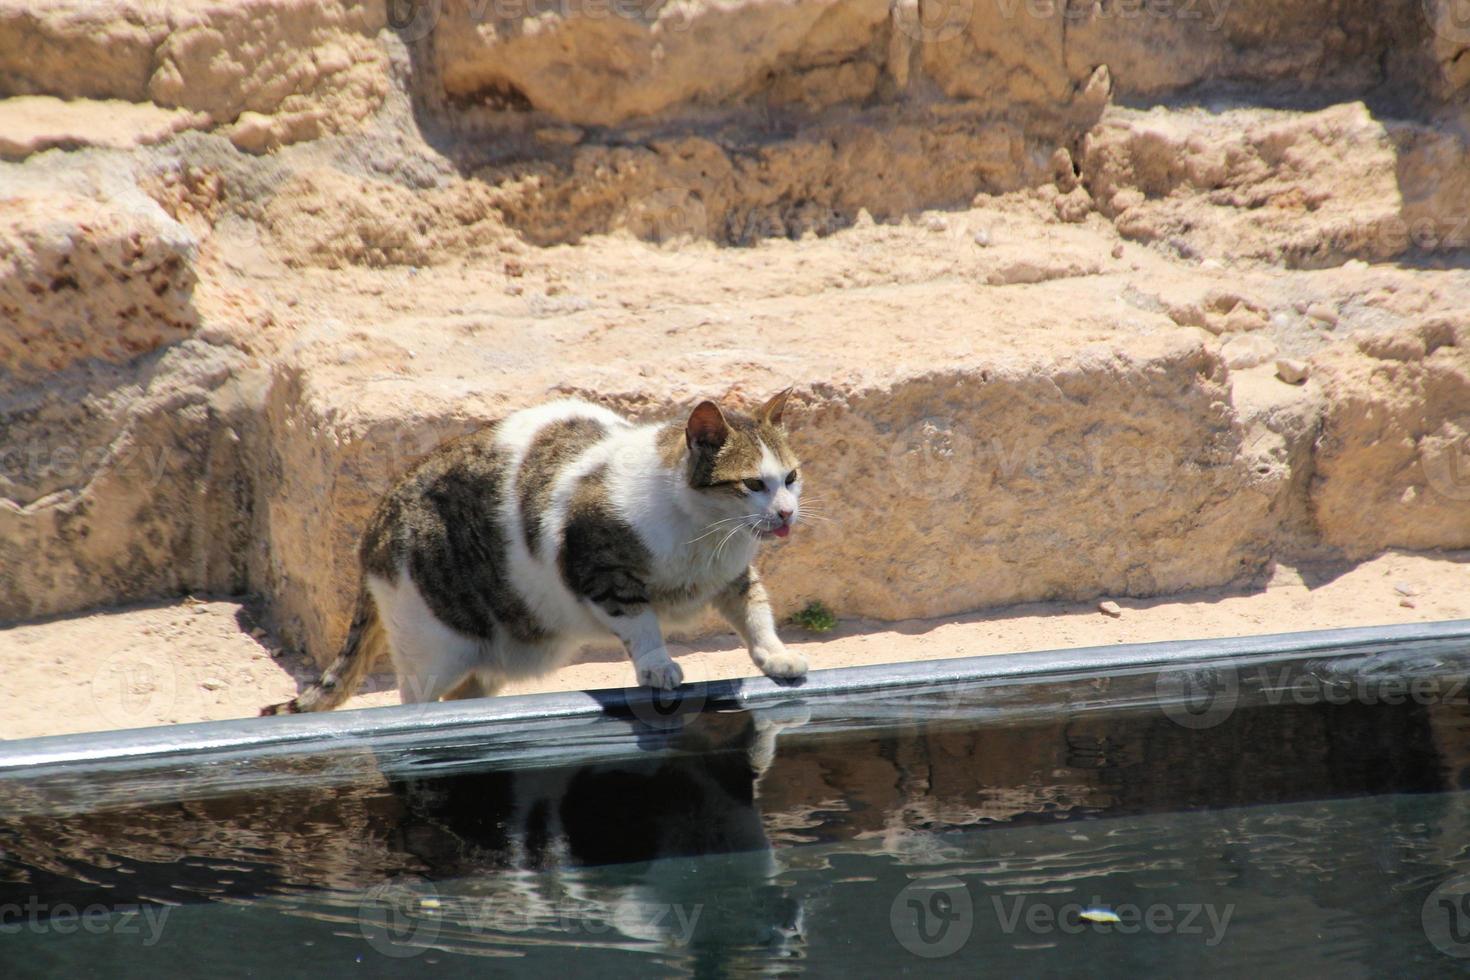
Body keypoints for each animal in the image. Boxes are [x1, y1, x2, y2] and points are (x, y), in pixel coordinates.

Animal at [260, 387, 811, 714]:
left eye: (790, 477)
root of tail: (374, 520)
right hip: (435, 645)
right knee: (416, 698)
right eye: (752, 484)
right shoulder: (599, 571)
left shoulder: (734, 576)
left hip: (491, 661)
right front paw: (657, 666)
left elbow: (757, 615)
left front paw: (776, 657)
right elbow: (642, 624)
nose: (786, 513)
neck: (704, 535)